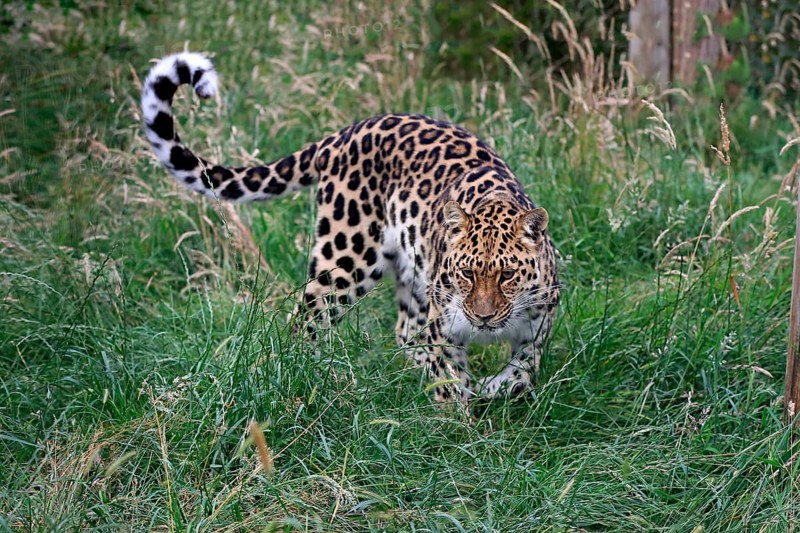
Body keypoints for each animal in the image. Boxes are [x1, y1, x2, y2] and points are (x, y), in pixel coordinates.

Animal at [141, 52, 560, 403]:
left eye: (507, 274)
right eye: (466, 273)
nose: (483, 318)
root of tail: (343, 133)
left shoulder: (539, 327)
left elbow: (524, 373)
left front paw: (492, 389)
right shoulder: (443, 328)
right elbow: (450, 382)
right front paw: (459, 428)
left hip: (411, 268)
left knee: (404, 330)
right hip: (344, 259)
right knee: (304, 322)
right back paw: (306, 380)